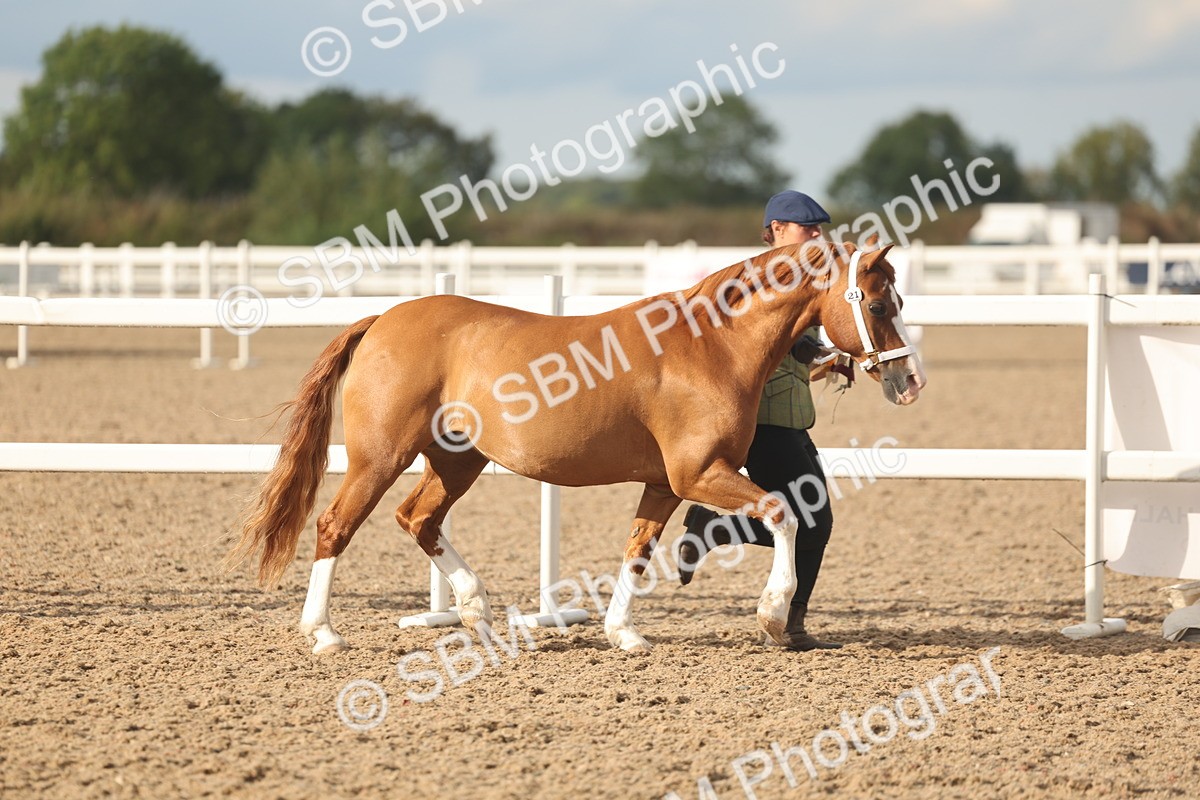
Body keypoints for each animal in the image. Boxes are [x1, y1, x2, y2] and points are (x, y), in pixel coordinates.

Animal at [226, 241, 925, 654]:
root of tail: (383, 319)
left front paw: (623, 634)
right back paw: (323, 634)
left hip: (457, 460)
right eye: (880, 302)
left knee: (417, 518)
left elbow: (639, 550)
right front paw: (774, 615)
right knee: (335, 526)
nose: (909, 383)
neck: (710, 347)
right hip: (380, 457)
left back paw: (478, 614)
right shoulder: (701, 473)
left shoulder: (666, 483)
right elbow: (782, 513)